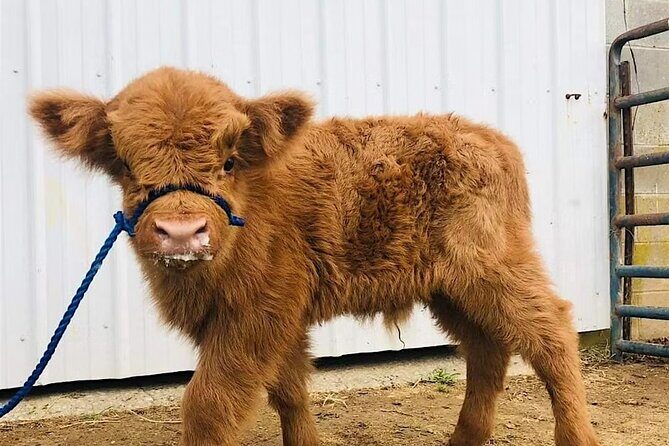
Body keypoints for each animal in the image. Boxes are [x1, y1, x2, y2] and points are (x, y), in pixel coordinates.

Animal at [29, 67, 600, 446]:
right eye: (126, 165)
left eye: (229, 161)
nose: (180, 232)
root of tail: (488, 137)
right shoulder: (277, 321)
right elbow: (289, 391)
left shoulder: (255, 315)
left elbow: (208, 404)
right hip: (451, 288)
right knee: (487, 349)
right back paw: (464, 439)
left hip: (495, 268)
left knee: (551, 332)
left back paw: (576, 437)